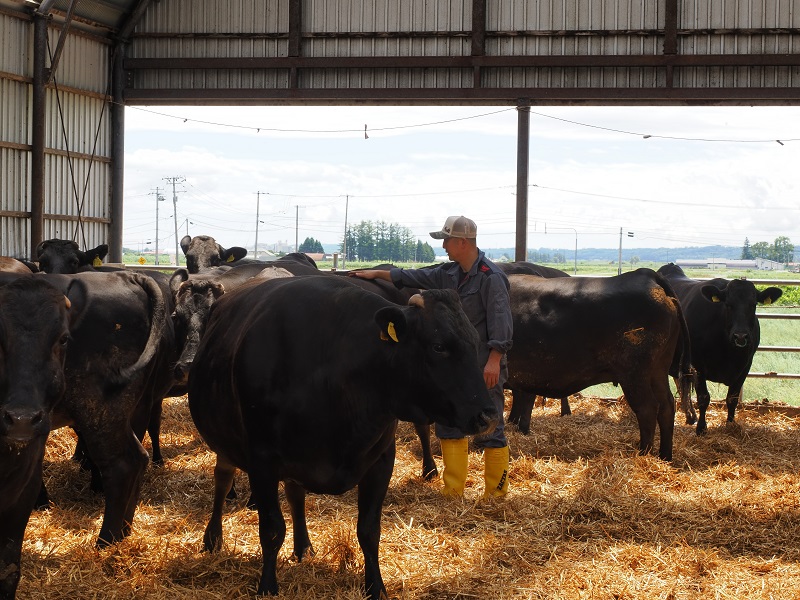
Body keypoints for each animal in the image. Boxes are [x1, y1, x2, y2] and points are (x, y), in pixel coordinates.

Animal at [190, 278, 496, 600]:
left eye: (475, 341)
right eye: (439, 347)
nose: (487, 415)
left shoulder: (381, 459)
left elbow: (369, 531)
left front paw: (376, 587)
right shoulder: (262, 461)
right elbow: (271, 529)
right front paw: (267, 587)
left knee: (295, 494)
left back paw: (303, 546)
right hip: (226, 445)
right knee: (223, 481)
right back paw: (212, 538)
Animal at [506, 270, 692, 462]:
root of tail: (645, 274)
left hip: (634, 375)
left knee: (648, 408)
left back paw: (643, 455)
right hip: (658, 371)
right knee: (667, 406)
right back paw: (665, 457)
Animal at [656, 264, 780, 434]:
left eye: (753, 304)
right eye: (728, 304)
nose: (740, 336)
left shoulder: (745, 366)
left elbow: (732, 398)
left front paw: (730, 424)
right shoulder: (698, 365)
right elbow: (704, 398)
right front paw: (701, 428)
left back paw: (690, 416)